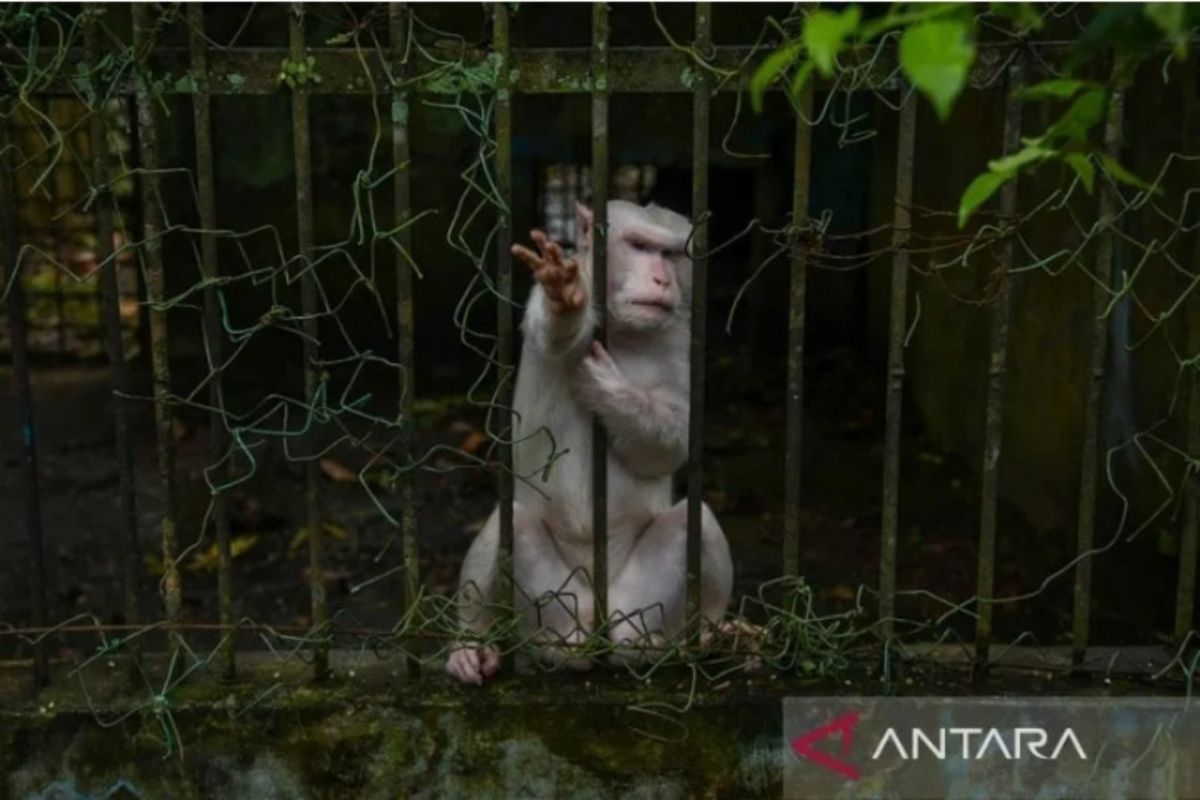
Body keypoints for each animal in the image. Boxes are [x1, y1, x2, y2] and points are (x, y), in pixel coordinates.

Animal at [448, 196, 734, 686]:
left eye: (670, 254)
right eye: (640, 246)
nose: (662, 279)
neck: (623, 331)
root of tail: (594, 621)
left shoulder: (679, 340)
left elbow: (671, 443)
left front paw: (610, 390)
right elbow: (556, 329)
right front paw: (565, 293)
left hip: (643, 603)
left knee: (696, 521)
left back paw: (707, 635)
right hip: (547, 603)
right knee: (510, 522)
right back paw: (473, 644)